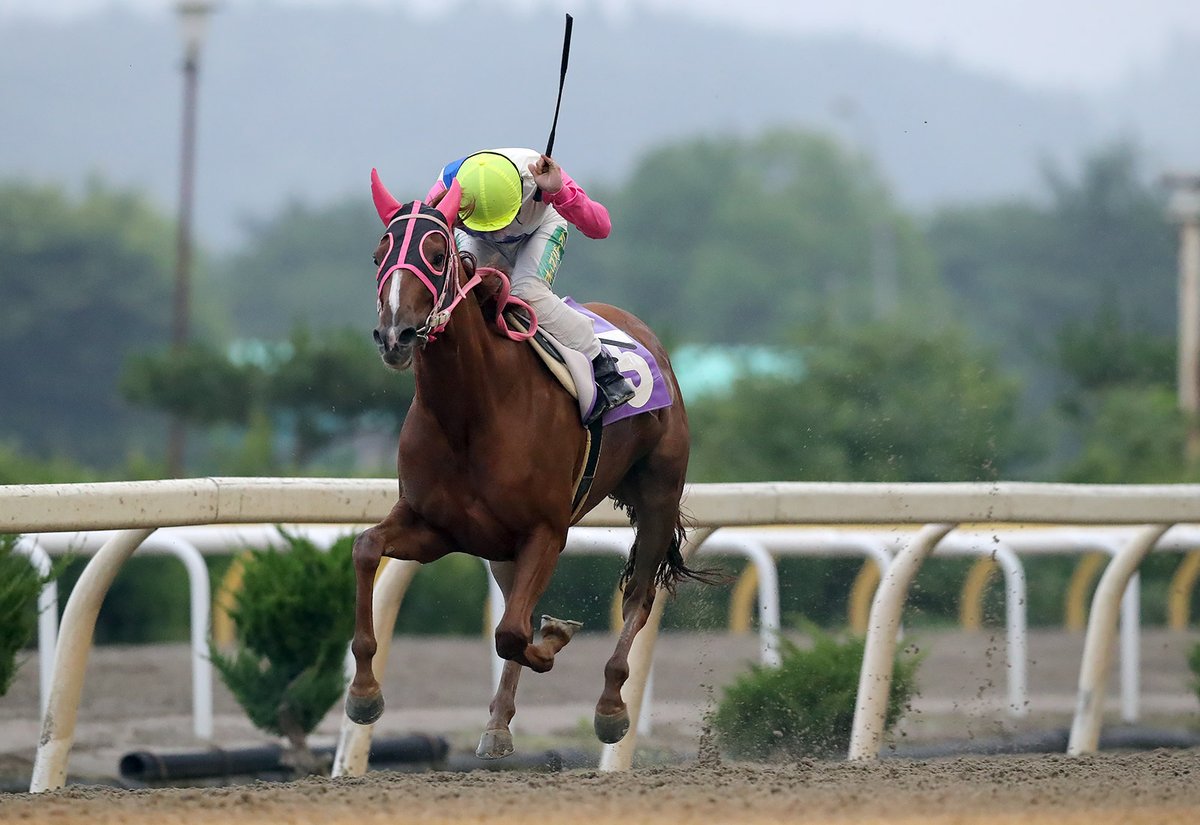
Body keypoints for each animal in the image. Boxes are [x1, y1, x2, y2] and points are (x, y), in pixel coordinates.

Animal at [345, 170, 713, 758]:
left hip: (658, 493)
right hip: (501, 545)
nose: (395, 335)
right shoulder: (436, 526)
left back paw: (611, 706)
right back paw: (497, 723)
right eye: (379, 254)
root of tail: (642, 333)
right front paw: (364, 692)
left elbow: (515, 633)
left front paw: (556, 636)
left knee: (639, 594)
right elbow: (366, 548)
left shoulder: (546, 530)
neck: (472, 410)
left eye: (436, 254)